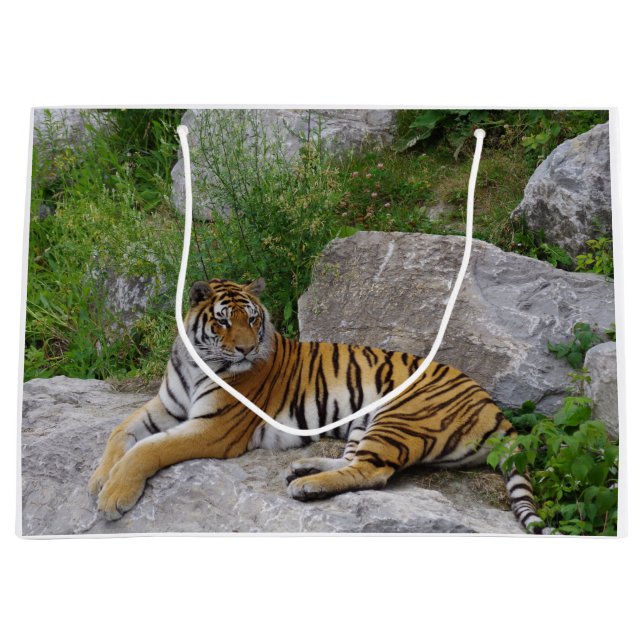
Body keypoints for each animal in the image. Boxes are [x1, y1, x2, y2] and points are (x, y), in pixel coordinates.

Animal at [88, 277, 545, 533]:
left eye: (253, 319)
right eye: (223, 321)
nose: (247, 349)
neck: (194, 359)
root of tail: (494, 406)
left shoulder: (214, 428)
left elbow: (150, 448)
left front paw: (114, 496)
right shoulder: (165, 405)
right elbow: (120, 432)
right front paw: (98, 479)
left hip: (399, 415)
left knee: (373, 473)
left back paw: (306, 486)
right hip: (366, 421)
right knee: (354, 461)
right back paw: (304, 468)